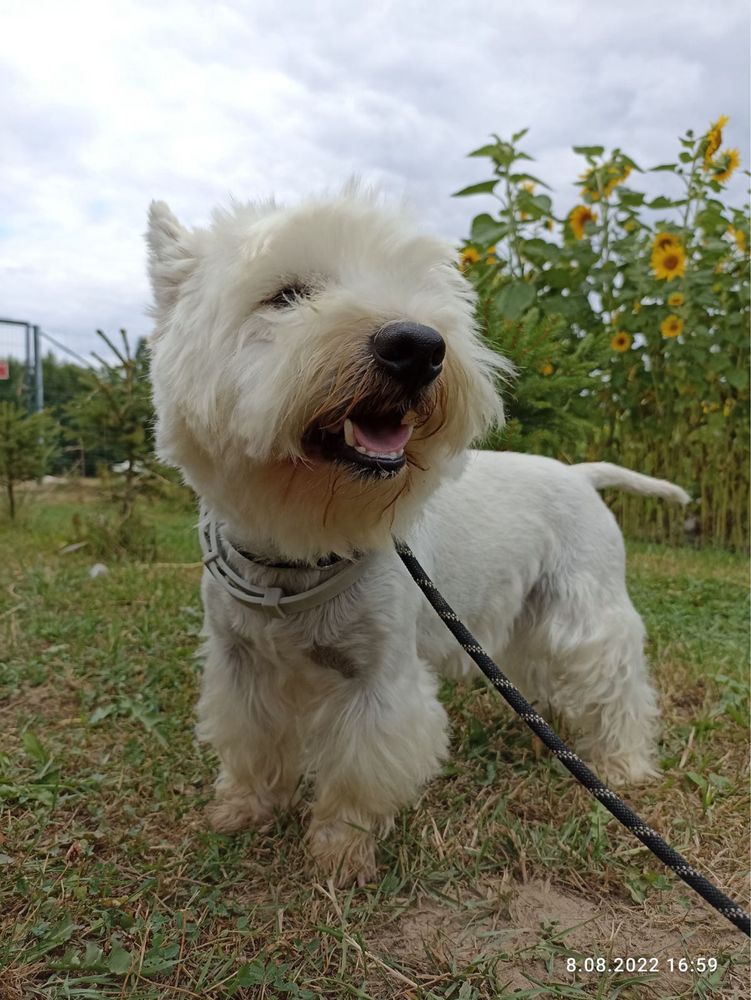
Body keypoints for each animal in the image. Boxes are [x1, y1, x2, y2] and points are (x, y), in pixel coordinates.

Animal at [145, 186, 688, 884]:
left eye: (418, 290)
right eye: (285, 295)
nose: (418, 346)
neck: (297, 547)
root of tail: (579, 472)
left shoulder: (381, 676)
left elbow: (361, 766)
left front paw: (340, 851)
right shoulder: (241, 663)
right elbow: (251, 739)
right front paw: (243, 808)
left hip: (588, 606)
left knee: (616, 677)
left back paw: (621, 763)